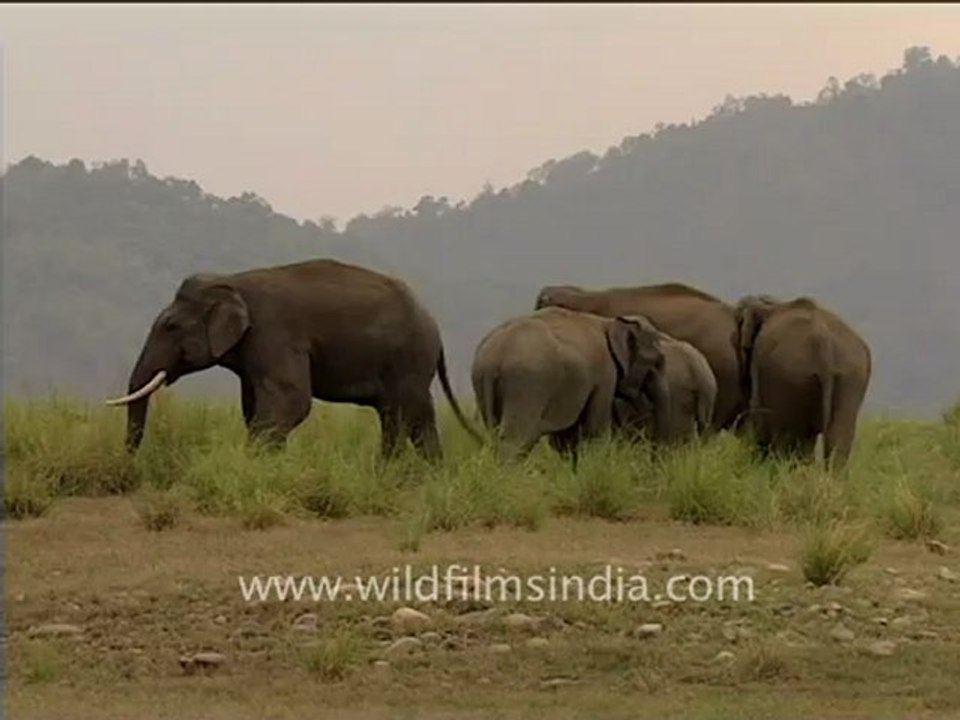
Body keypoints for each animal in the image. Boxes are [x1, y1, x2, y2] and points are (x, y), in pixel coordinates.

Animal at [105, 258, 480, 460]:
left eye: (170, 326)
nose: (128, 464)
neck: (232, 281)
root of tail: (434, 324)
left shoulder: (274, 334)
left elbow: (291, 402)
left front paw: (253, 465)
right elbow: (256, 407)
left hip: (408, 360)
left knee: (401, 413)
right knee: (412, 416)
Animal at [471, 307, 670, 463]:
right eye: (656, 360)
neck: (609, 322)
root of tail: (494, 355)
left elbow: (566, 438)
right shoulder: (605, 375)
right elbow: (595, 430)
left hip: (484, 384)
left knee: (495, 433)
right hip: (526, 383)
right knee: (515, 439)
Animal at [735, 294, 872, 469]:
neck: (774, 305)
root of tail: (823, 342)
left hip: (788, 376)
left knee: (790, 438)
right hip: (851, 376)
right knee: (836, 438)